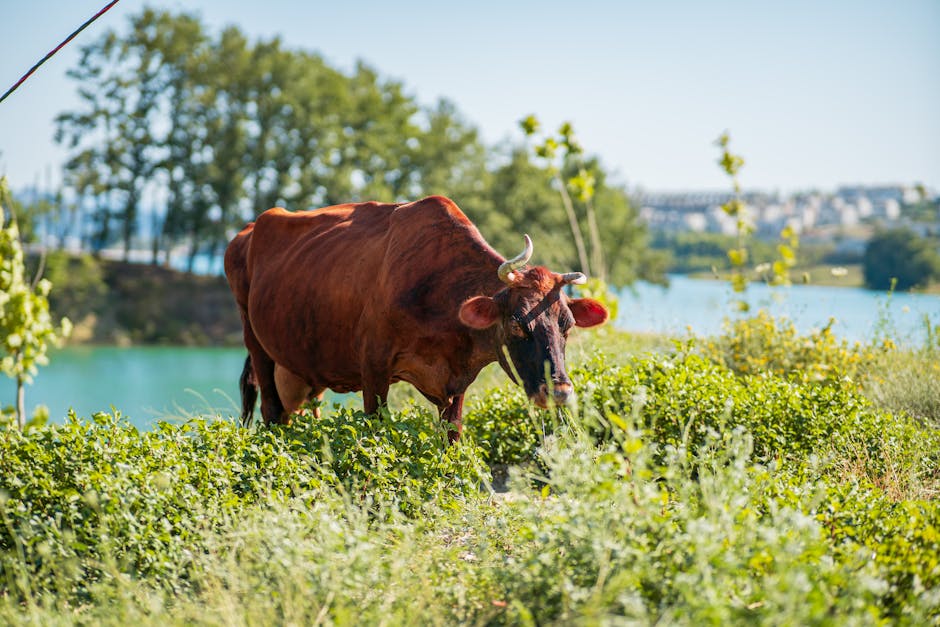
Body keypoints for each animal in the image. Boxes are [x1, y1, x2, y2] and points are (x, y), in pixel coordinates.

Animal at [224, 195, 608, 443]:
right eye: (516, 322)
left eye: (567, 325)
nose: (559, 390)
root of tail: (248, 229)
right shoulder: (373, 366)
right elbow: (376, 431)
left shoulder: (459, 381)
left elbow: (452, 436)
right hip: (255, 341)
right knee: (271, 411)